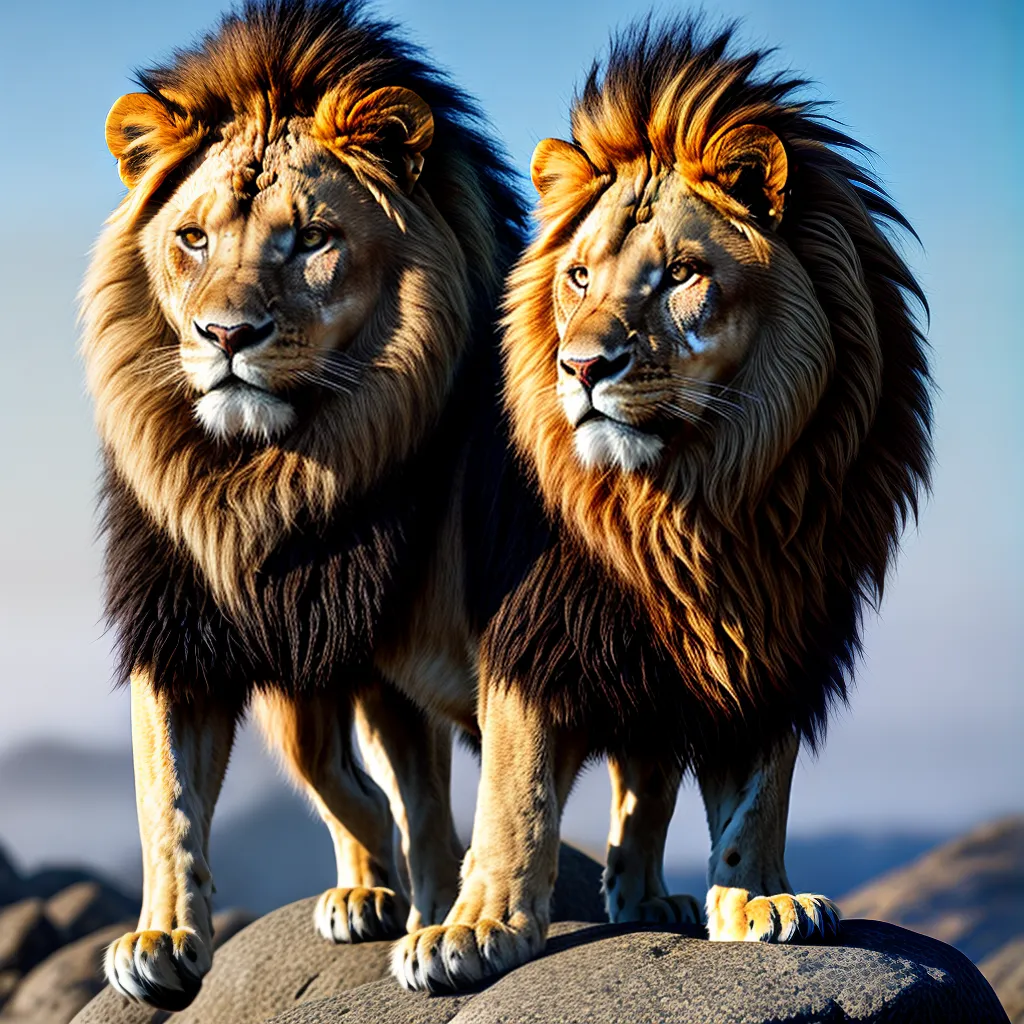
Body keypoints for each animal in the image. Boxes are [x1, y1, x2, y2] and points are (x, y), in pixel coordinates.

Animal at [81, 0, 524, 1009]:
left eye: (311, 240)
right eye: (193, 239)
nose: (226, 335)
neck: (269, 478)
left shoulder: (437, 639)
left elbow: (469, 791)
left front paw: (454, 922)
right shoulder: (181, 621)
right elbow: (167, 796)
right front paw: (162, 936)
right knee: (343, 781)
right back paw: (367, 892)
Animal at [392, 20, 932, 990]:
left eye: (682, 274)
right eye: (576, 277)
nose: (580, 366)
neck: (698, 504)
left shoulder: (777, 635)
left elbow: (757, 795)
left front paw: (758, 900)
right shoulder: (533, 634)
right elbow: (515, 795)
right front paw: (474, 928)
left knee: (640, 791)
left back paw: (646, 900)